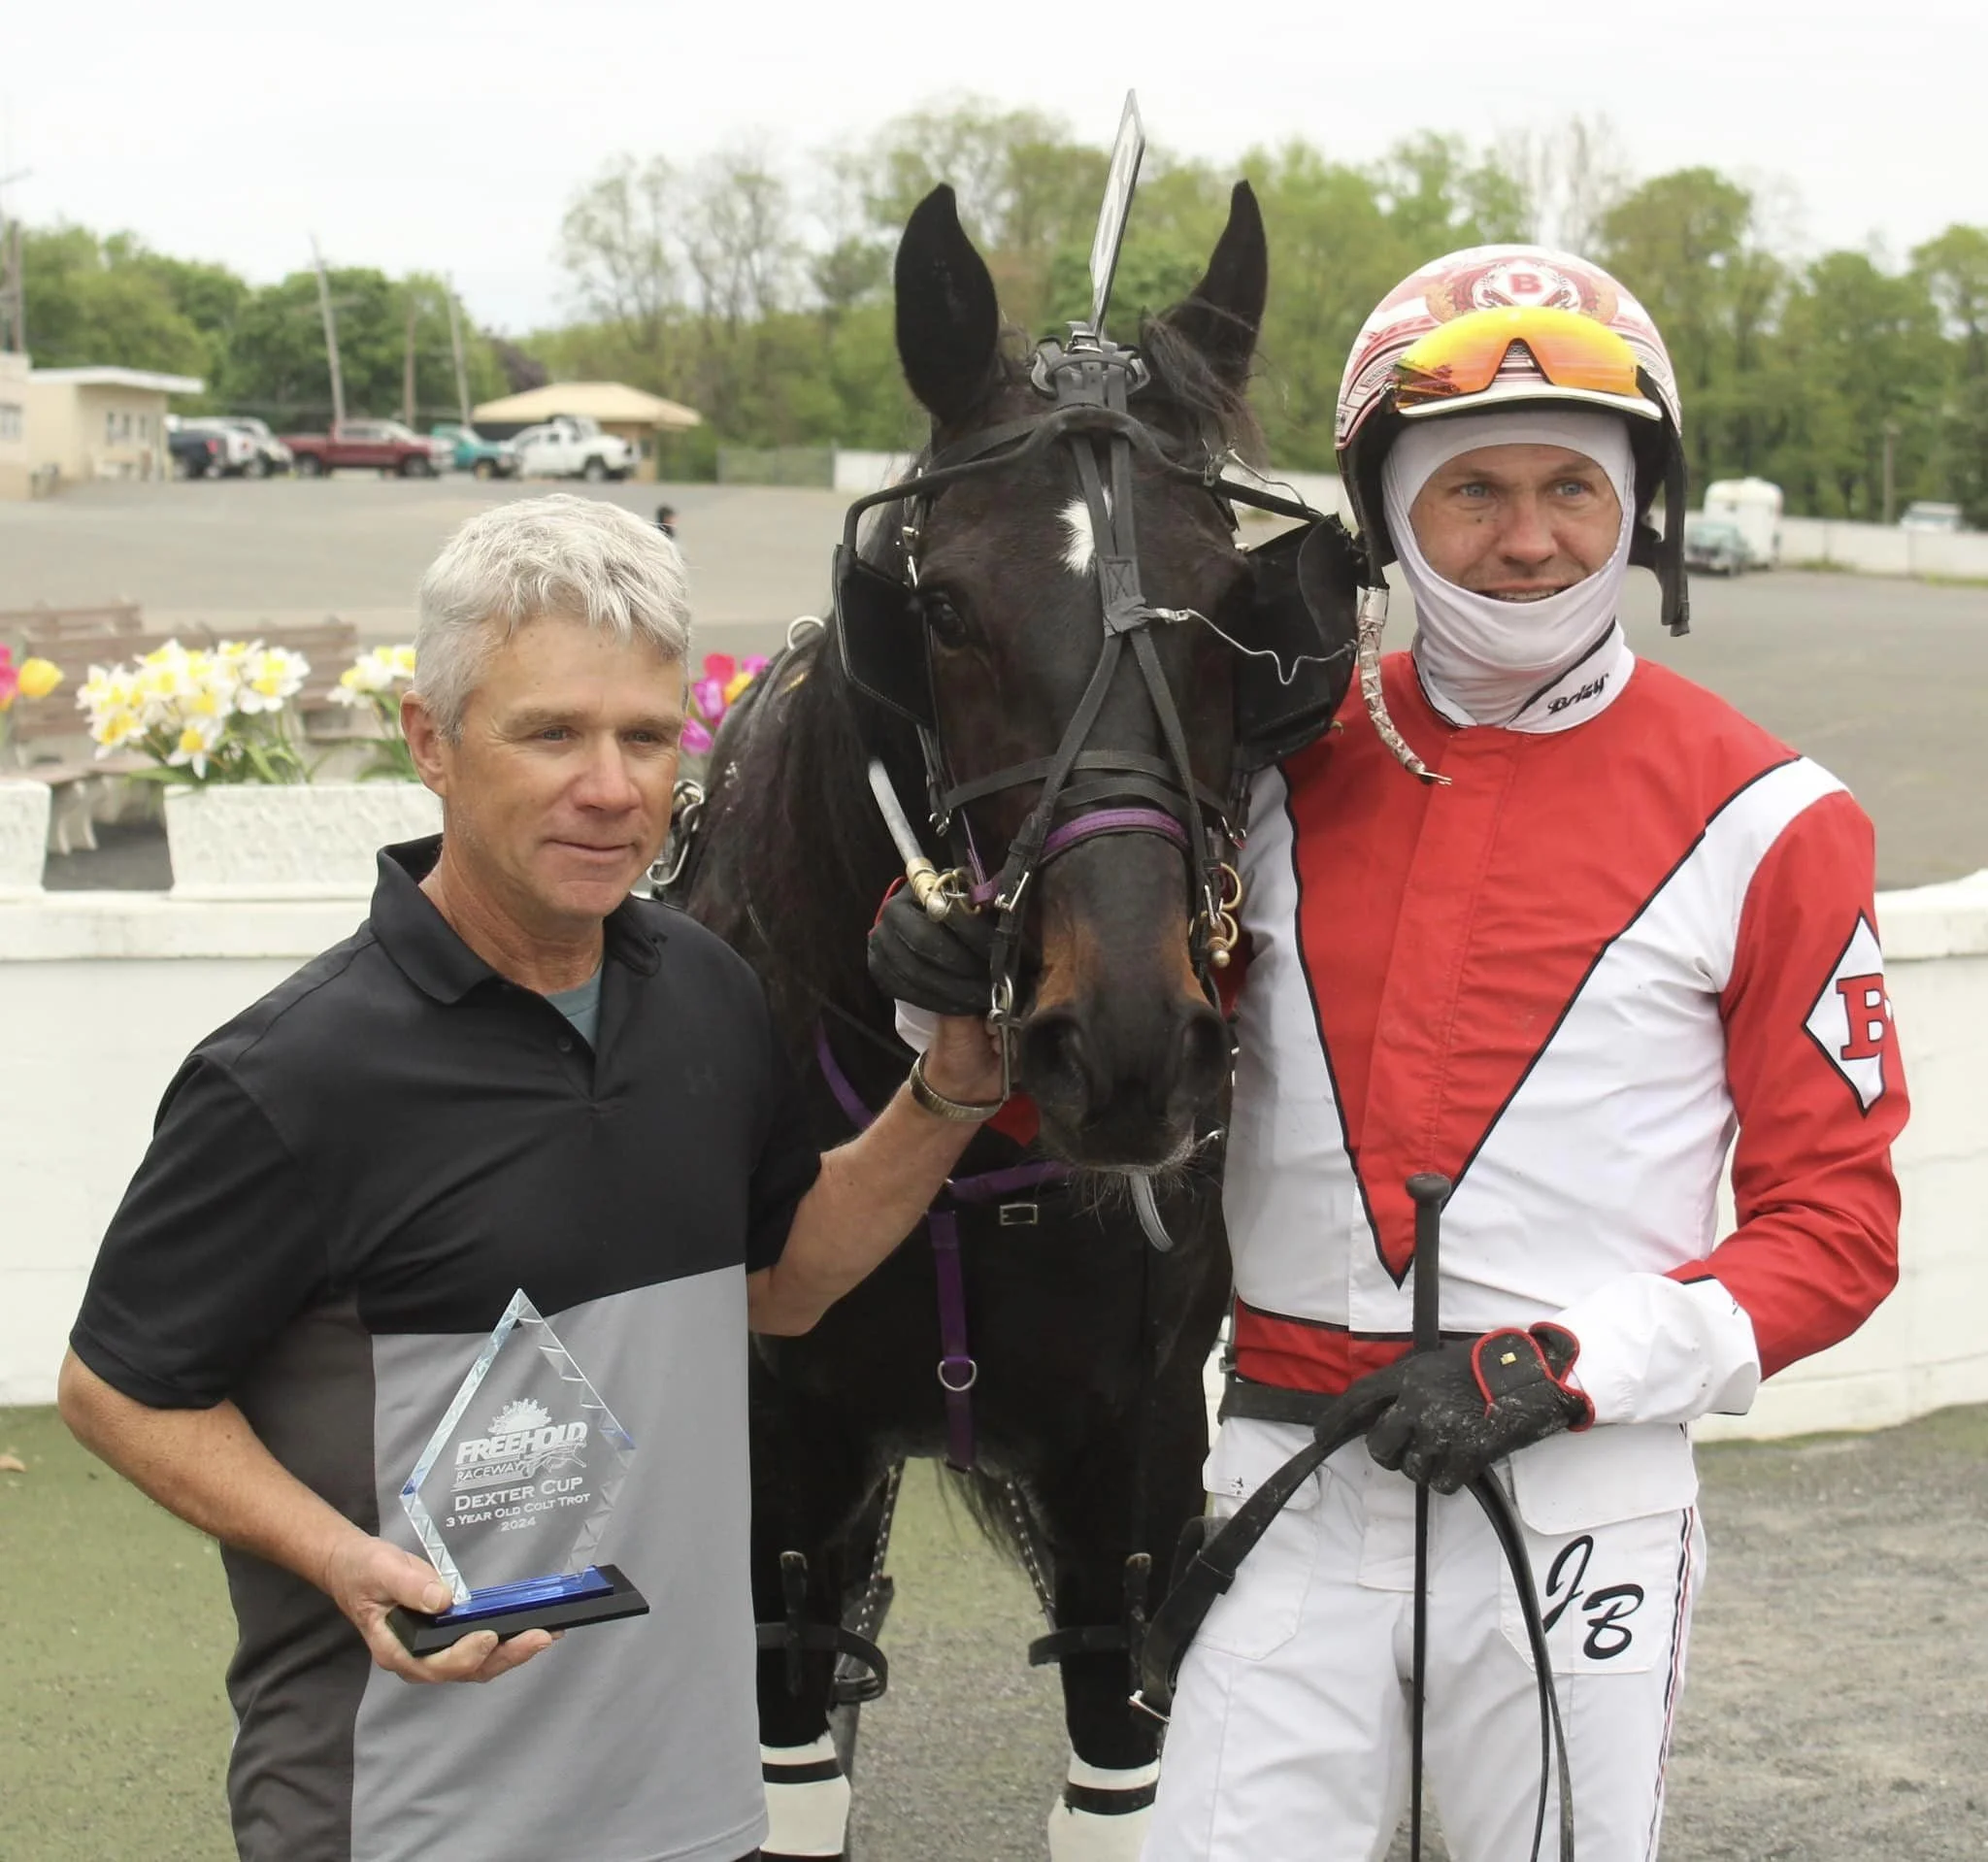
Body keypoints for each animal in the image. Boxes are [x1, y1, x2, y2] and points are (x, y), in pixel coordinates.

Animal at [677, 177, 1354, 1861]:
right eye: (940, 605)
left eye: (1235, 606)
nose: (1121, 1045)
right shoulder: (785, 1470)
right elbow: (793, 1758)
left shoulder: (1137, 1457)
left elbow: (1119, 1766)